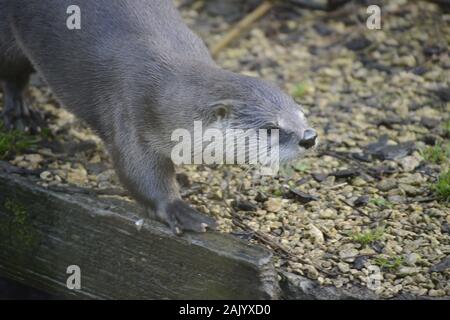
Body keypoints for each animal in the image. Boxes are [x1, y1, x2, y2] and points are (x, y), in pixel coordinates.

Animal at [0, 1, 318, 234]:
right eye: (271, 128)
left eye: (302, 113)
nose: (309, 137)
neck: (165, 89)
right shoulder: (129, 108)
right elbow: (138, 170)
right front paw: (180, 210)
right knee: (12, 71)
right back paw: (21, 115)